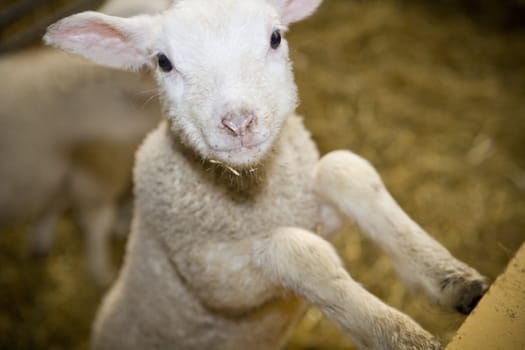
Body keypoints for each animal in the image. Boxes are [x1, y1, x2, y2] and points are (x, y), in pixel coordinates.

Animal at [0, 0, 169, 286]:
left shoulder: (68, 165)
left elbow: (56, 201)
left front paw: (41, 237)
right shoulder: (97, 169)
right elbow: (96, 222)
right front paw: (101, 271)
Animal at [45, 1, 488, 348]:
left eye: (275, 38)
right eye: (163, 62)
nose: (238, 122)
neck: (257, 196)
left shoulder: (316, 209)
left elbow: (344, 167)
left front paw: (452, 280)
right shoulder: (209, 277)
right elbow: (295, 249)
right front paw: (397, 333)